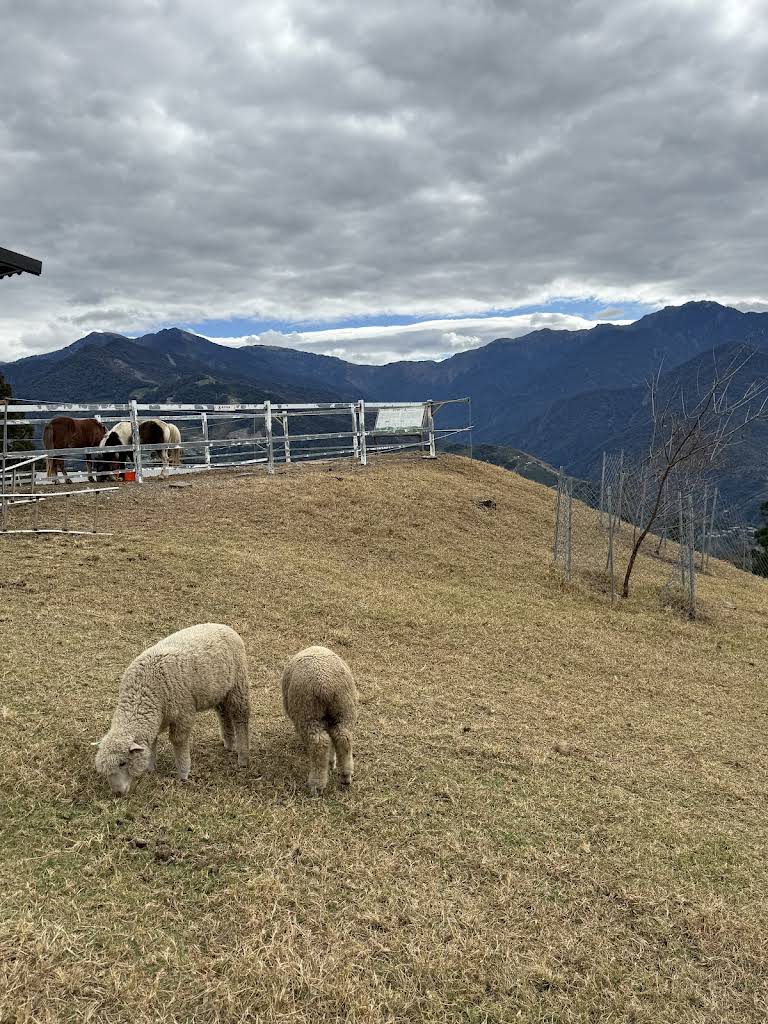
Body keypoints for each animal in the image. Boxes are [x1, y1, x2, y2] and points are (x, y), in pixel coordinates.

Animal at [94, 623, 250, 796]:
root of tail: (223, 626)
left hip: (238, 684)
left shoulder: (183, 714)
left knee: (240, 718)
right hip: (219, 691)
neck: (144, 691)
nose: (117, 793)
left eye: (122, 763)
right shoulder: (156, 719)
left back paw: (243, 757)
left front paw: (183, 773)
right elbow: (152, 742)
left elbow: (178, 741)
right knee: (223, 714)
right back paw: (229, 743)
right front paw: (150, 768)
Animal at [281, 645, 358, 795]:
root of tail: (325, 686)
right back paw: (346, 776)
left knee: (319, 744)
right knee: (343, 738)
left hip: (308, 713)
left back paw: (316, 785)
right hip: (344, 710)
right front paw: (331, 762)